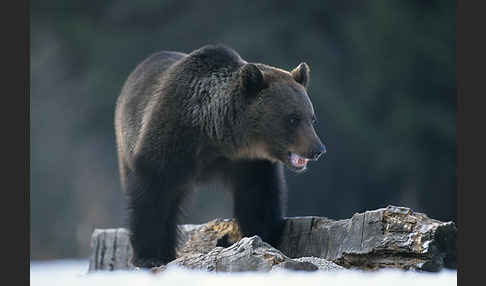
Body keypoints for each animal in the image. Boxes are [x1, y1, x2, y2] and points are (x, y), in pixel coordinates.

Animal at [114, 44, 326, 268]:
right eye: (292, 119)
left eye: (312, 118)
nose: (318, 149)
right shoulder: (172, 139)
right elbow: (154, 193)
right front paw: (150, 256)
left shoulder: (249, 162)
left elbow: (259, 197)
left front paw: (265, 235)